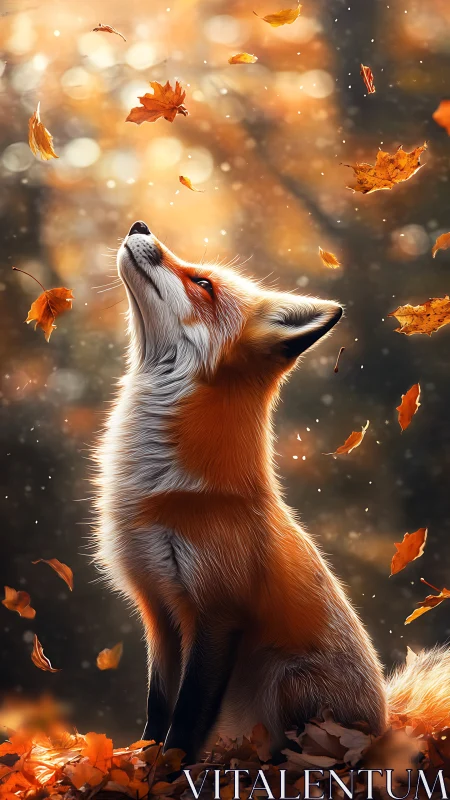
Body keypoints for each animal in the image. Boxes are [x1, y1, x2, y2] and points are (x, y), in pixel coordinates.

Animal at [95, 220, 450, 765]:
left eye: (203, 284)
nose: (139, 226)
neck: (165, 492)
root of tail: (386, 722)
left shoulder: (218, 612)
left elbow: (188, 717)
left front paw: (171, 771)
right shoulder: (157, 605)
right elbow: (158, 710)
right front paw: (139, 767)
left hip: (288, 682)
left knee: (309, 755)